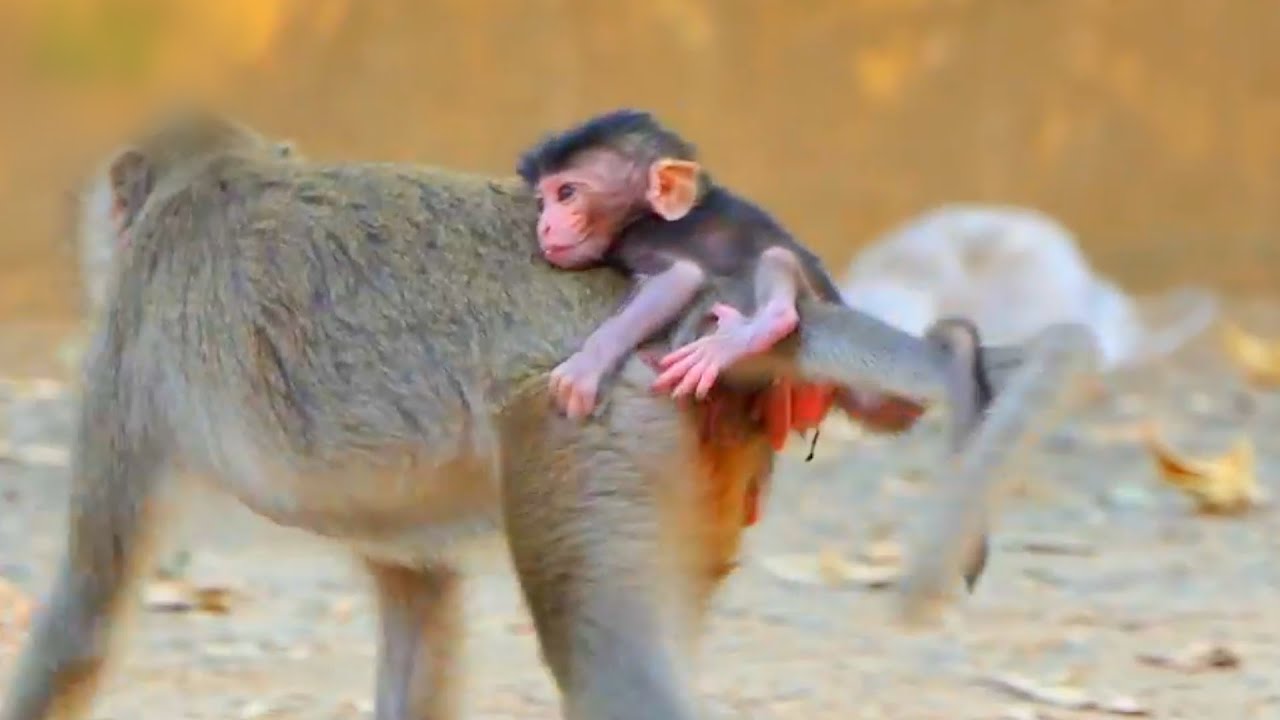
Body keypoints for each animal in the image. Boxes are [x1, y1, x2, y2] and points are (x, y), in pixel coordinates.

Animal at [0, 108, 1091, 720]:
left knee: (612, 671)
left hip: (594, 427)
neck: (208, 182)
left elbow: (83, 624)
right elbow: (422, 604)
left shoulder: (128, 356)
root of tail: (720, 299)